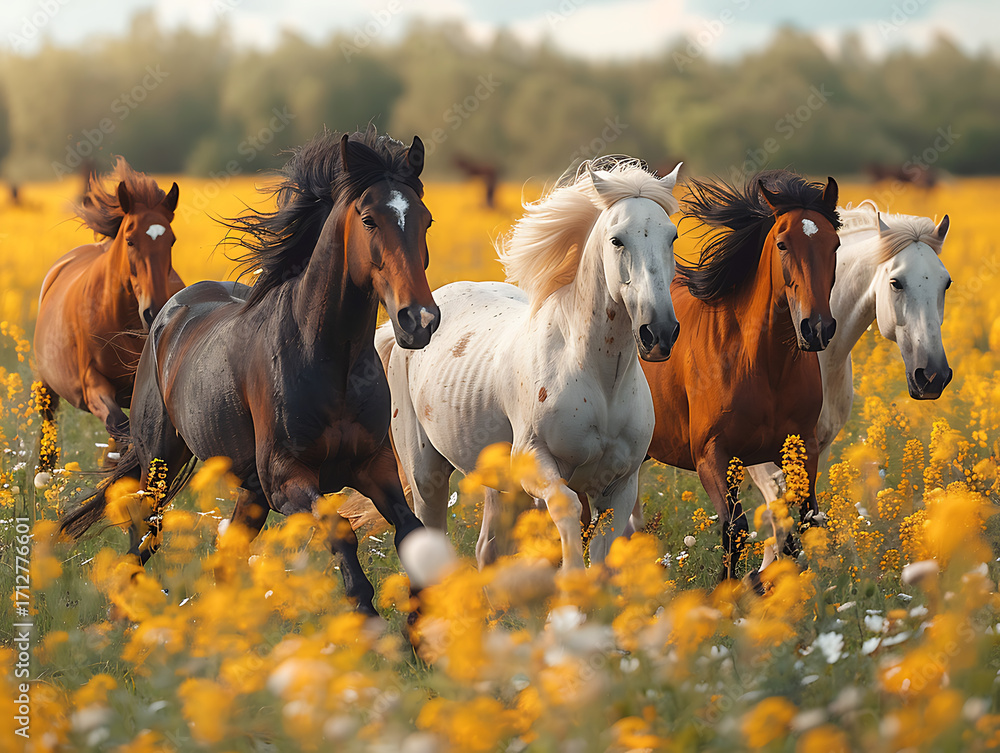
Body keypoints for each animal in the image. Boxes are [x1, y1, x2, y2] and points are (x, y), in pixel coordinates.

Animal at [33, 158, 183, 453]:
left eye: (171, 240)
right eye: (130, 240)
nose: (153, 311)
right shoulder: (93, 385)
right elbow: (118, 424)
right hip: (47, 390)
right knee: (49, 436)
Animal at [59, 128, 448, 615]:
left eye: (426, 220)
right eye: (368, 219)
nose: (419, 320)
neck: (330, 360)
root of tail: (167, 315)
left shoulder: (372, 467)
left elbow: (412, 532)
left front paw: (418, 624)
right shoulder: (287, 479)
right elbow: (341, 534)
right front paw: (369, 618)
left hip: (249, 491)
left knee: (221, 557)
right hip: (161, 465)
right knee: (142, 538)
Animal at [378, 157, 682, 570]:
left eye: (672, 237)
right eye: (617, 240)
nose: (660, 332)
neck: (600, 381)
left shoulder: (620, 486)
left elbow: (605, 554)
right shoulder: (535, 461)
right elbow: (567, 508)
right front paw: (570, 580)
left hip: (499, 483)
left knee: (488, 550)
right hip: (426, 474)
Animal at [639, 170, 840, 583]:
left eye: (835, 244)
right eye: (782, 243)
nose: (817, 328)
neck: (761, 365)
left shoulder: (803, 448)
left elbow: (804, 521)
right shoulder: (711, 455)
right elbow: (735, 527)